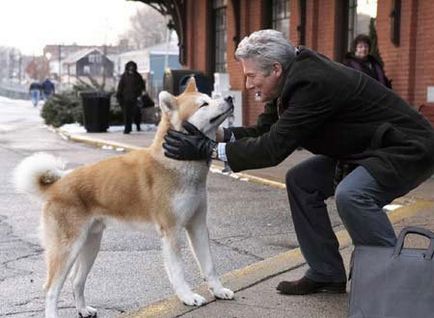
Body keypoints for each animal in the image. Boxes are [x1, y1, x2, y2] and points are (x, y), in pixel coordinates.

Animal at [14, 77, 234, 318]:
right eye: (203, 104)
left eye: (210, 97)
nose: (230, 97)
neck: (175, 162)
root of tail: (57, 186)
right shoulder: (172, 232)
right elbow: (178, 272)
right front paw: (187, 297)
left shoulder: (198, 225)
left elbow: (209, 266)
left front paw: (219, 290)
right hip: (67, 249)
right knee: (51, 289)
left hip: (91, 244)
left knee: (76, 281)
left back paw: (83, 309)